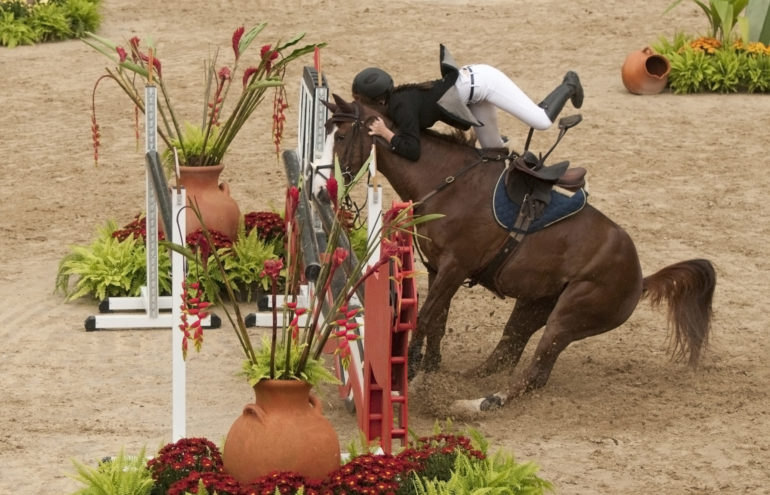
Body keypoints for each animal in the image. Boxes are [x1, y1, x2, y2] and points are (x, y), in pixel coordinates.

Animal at [325, 94, 716, 412]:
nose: (330, 183)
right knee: (505, 355)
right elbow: (436, 323)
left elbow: (424, 320)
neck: (447, 181)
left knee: (534, 374)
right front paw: (427, 373)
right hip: (533, 307)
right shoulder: (439, 268)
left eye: (341, 136)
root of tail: (640, 277)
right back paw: (465, 384)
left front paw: (407, 375)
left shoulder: (454, 267)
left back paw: (479, 403)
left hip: (568, 317)